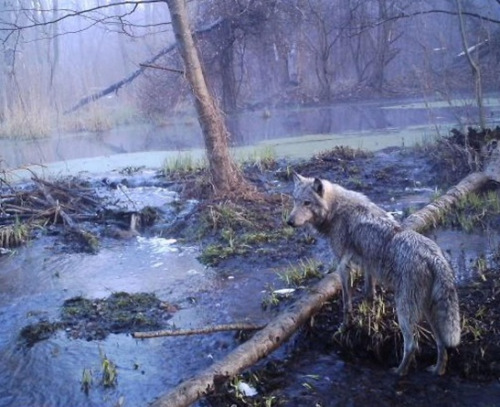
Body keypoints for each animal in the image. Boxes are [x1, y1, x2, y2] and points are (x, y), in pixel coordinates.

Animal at [286, 172, 460, 376]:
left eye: (307, 203)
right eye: (295, 201)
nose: (289, 222)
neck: (335, 210)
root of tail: (435, 257)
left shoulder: (343, 266)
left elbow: (346, 304)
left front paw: (345, 327)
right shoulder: (368, 265)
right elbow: (369, 294)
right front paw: (369, 319)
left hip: (405, 312)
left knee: (412, 346)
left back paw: (398, 372)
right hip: (428, 312)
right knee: (441, 344)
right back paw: (437, 370)